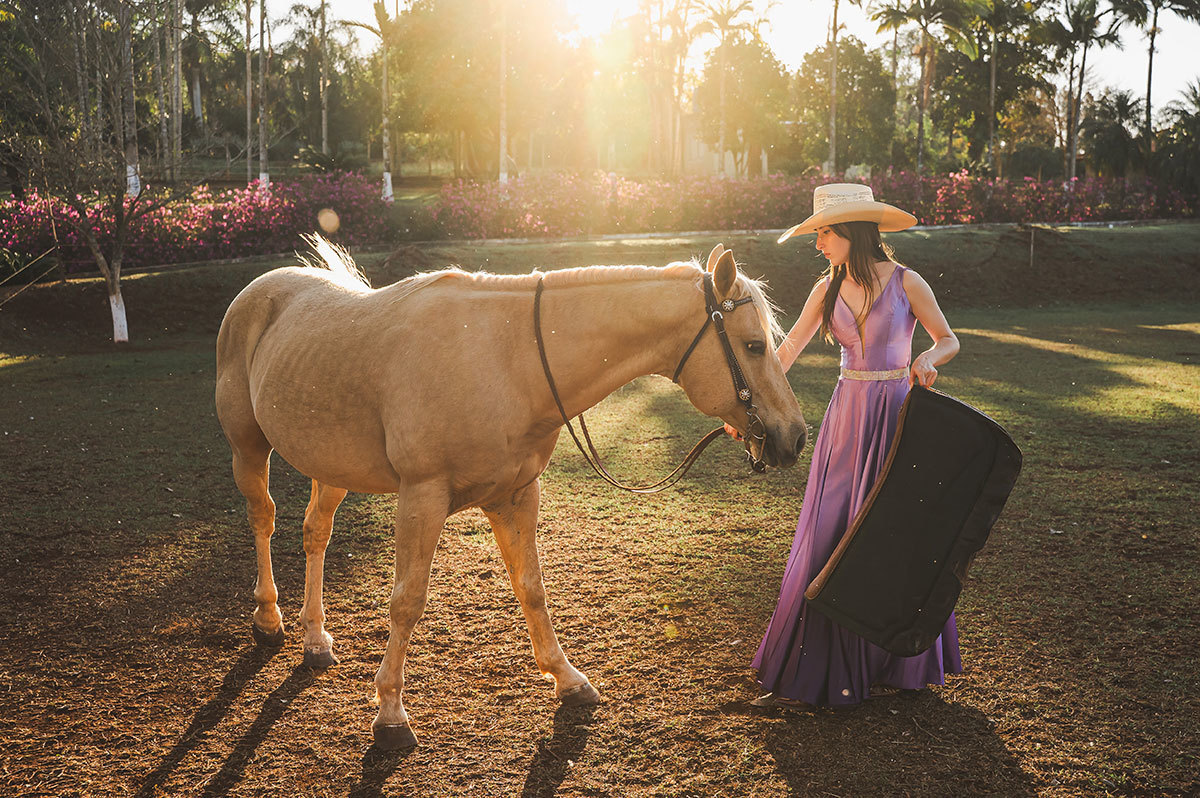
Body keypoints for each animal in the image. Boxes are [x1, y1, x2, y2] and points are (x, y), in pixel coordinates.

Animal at [215, 239, 807, 749]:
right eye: (754, 346)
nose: (795, 436)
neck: (509, 358)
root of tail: (262, 289)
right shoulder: (422, 497)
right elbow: (407, 601)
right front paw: (390, 715)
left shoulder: (516, 495)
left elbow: (532, 588)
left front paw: (567, 678)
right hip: (248, 447)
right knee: (263, 518)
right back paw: (268, 618)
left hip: (333, 465)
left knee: (316, 532)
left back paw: (316, 640)